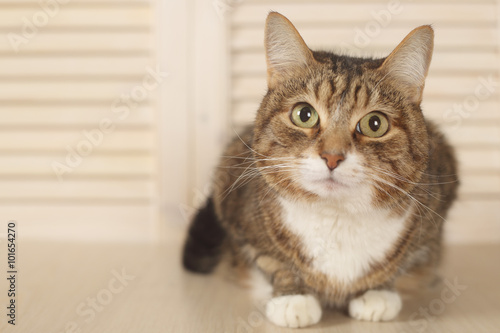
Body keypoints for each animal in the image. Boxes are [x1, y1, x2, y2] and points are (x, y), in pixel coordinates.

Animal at [183, 11, 458, 326]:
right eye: (304, 115)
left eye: (375, 124)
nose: (332, 157)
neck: (336, 216)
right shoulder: (232, 198)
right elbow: (270, 260)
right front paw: (293, 297)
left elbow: (403, 262)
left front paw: (377, 292)